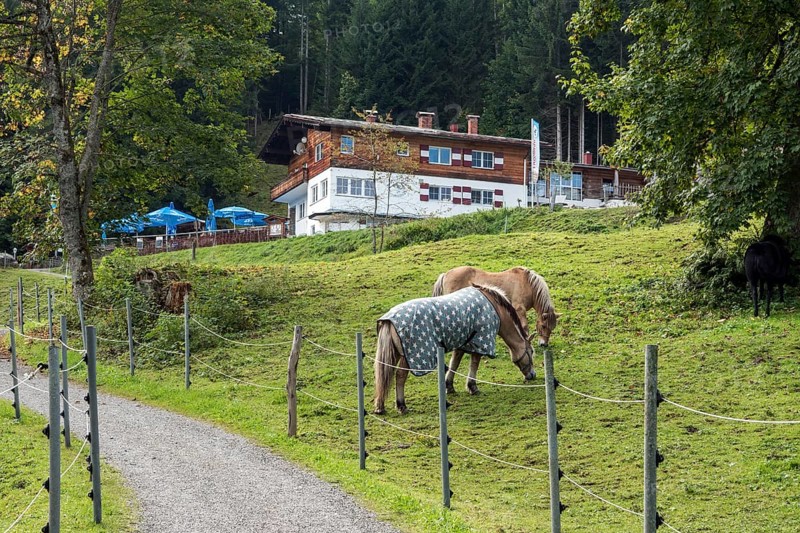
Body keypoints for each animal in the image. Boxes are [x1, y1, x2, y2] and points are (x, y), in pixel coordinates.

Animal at [373, 284, 534, 415]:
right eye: (532, 352)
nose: (532, 375)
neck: (493, 306)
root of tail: (389, 320)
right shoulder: (479, 341)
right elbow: (474, 364)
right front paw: (472, 387)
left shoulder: (463, 342)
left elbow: (454, 363)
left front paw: (449, 386)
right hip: (409, 358)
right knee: (400, 376)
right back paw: (401, 406)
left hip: (395, 356)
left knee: (383, 378)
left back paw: (380, 407)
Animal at [432, 266, 559, 395]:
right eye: (543, 326)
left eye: (552, 328)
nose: (544, 344)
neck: (527, 282)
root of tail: (446, 274)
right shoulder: (519, 309)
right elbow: (524, 328)